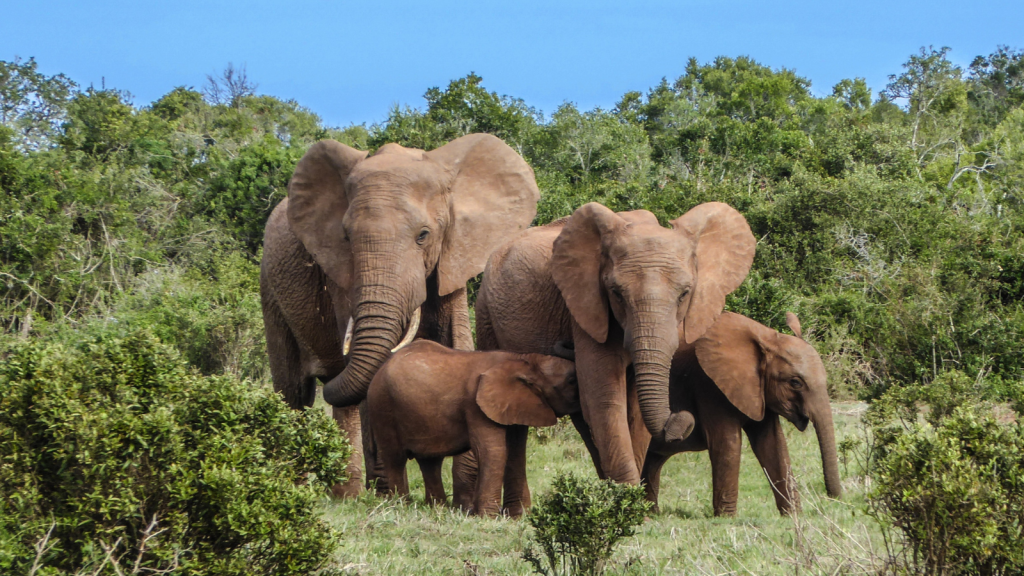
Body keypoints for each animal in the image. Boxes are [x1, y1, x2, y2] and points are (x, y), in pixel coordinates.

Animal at [260, 131, 540, 494]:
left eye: (423, 235)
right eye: (346, 237)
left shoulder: (452, 256)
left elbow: (457, 342)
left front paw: (464, 495)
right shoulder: (340, 273)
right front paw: (388, 492)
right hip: (269, 287)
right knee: (294, 393)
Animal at [366, 338, 577, 512]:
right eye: (571, 380)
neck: (523, 360)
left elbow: (516, 453)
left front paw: (519, 516)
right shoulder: (475, 405)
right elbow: (492, 451)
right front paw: (487, 517)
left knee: (430, 461)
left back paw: (437, 509)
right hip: (382, 406)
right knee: (395, 458)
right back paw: (401, 506)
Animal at [475, 199, 757, 481]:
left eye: (684, 294)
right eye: (616, 293)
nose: (682, 418)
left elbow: (633, 410)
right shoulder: (586, 308)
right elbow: (605, 398)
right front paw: (627, 492)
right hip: (485, 312)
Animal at [643, 311, 843, 512]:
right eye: (795, 382)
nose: (833, 498)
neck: (767, 338)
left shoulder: (759, 392)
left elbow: (773, 444)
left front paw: (794, 515)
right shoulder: (708, 384)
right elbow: (727, 443)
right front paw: (725, 517)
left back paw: (652, 513)